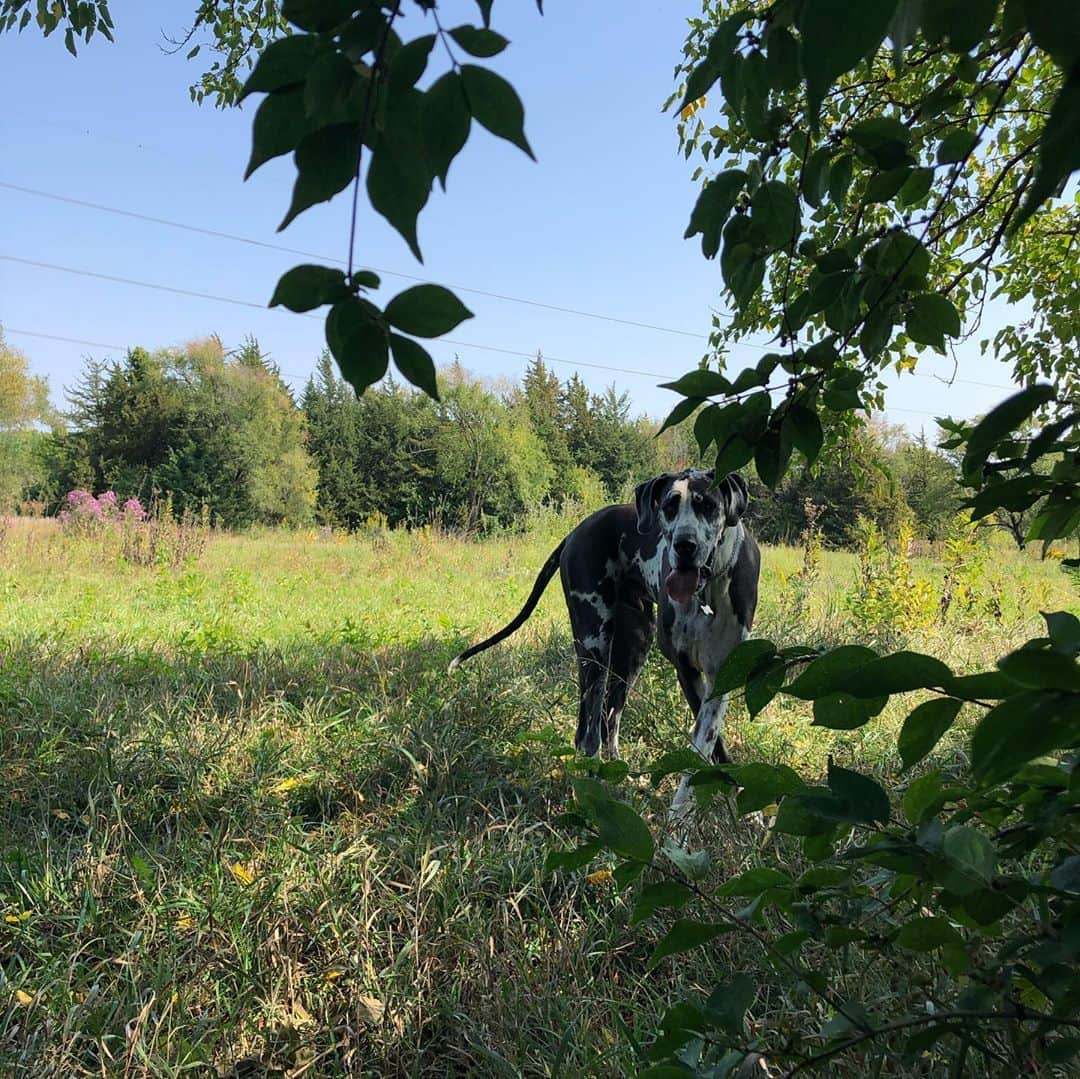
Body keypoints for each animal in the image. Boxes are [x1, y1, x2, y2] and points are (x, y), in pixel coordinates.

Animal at [447, 468, 760, 812]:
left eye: (708, 505)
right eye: (669, 506)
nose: (684, 545)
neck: (711, 588)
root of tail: (576, 531)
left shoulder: (722, 675)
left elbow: (712, 745)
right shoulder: (687, 671)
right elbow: (702, 752)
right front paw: (680, 817)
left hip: (634, 648)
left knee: (610, 720)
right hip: (595, 646)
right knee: (589, 733)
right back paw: (594, 791)